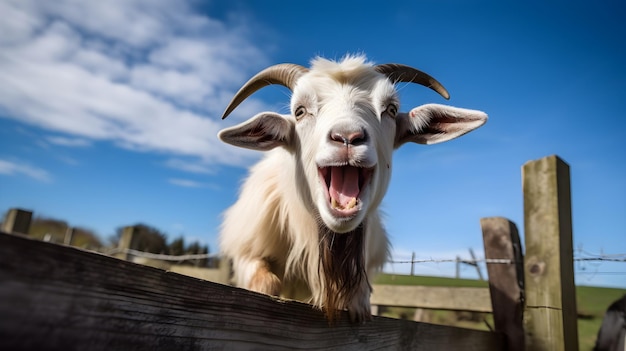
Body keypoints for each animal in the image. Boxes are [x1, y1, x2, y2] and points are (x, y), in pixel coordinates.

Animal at [217, 53, 486, 324]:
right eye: (300, 111)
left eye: (391, 110)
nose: (347, 137)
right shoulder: (247, 252)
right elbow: (266, 282)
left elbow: (361, 298)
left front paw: (358, 305)